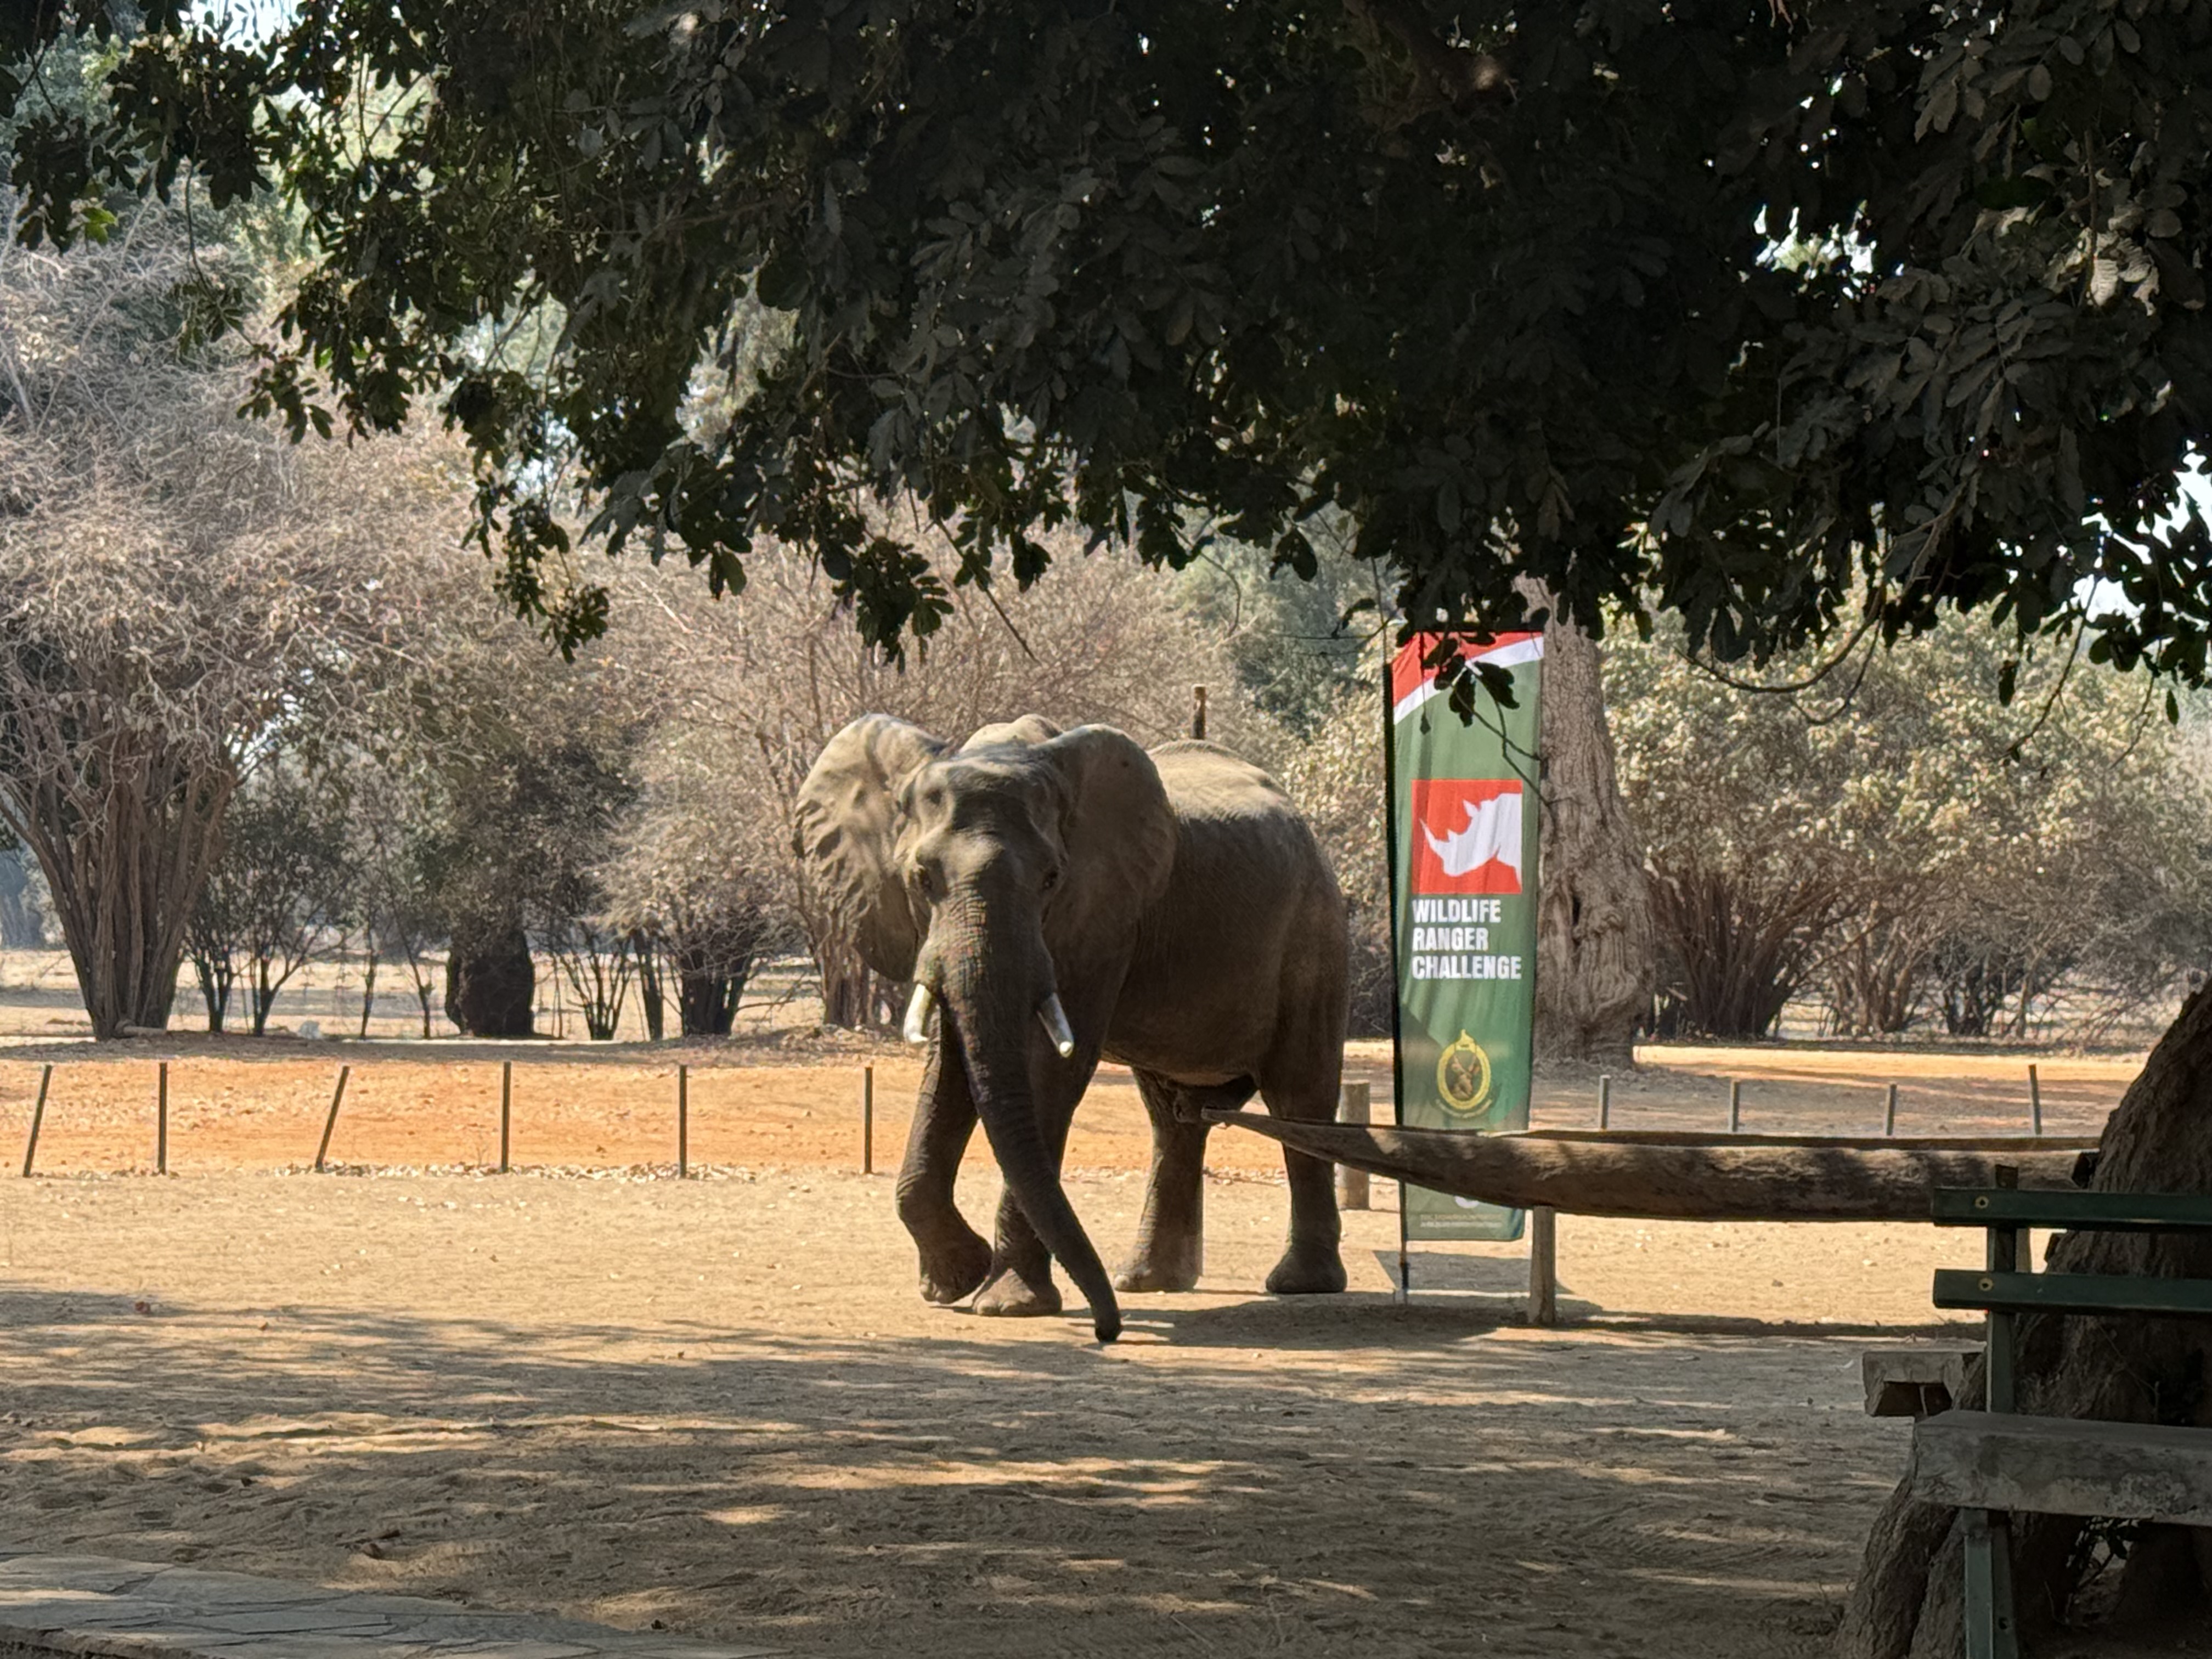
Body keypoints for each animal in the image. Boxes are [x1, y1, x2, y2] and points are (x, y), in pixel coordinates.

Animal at [792, 712, 1350, 1342]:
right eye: (920, 878)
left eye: (1051, 879)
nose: (1109, 1331)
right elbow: (954, 1066)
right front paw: (956, 1282)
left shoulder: (1102, 917)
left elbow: (1051, 1069)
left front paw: (1008, 1305)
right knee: (1173, 1119)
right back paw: (1148, 1281)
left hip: (1315, 933)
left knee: (1300, 1094)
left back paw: (1300, 1284)